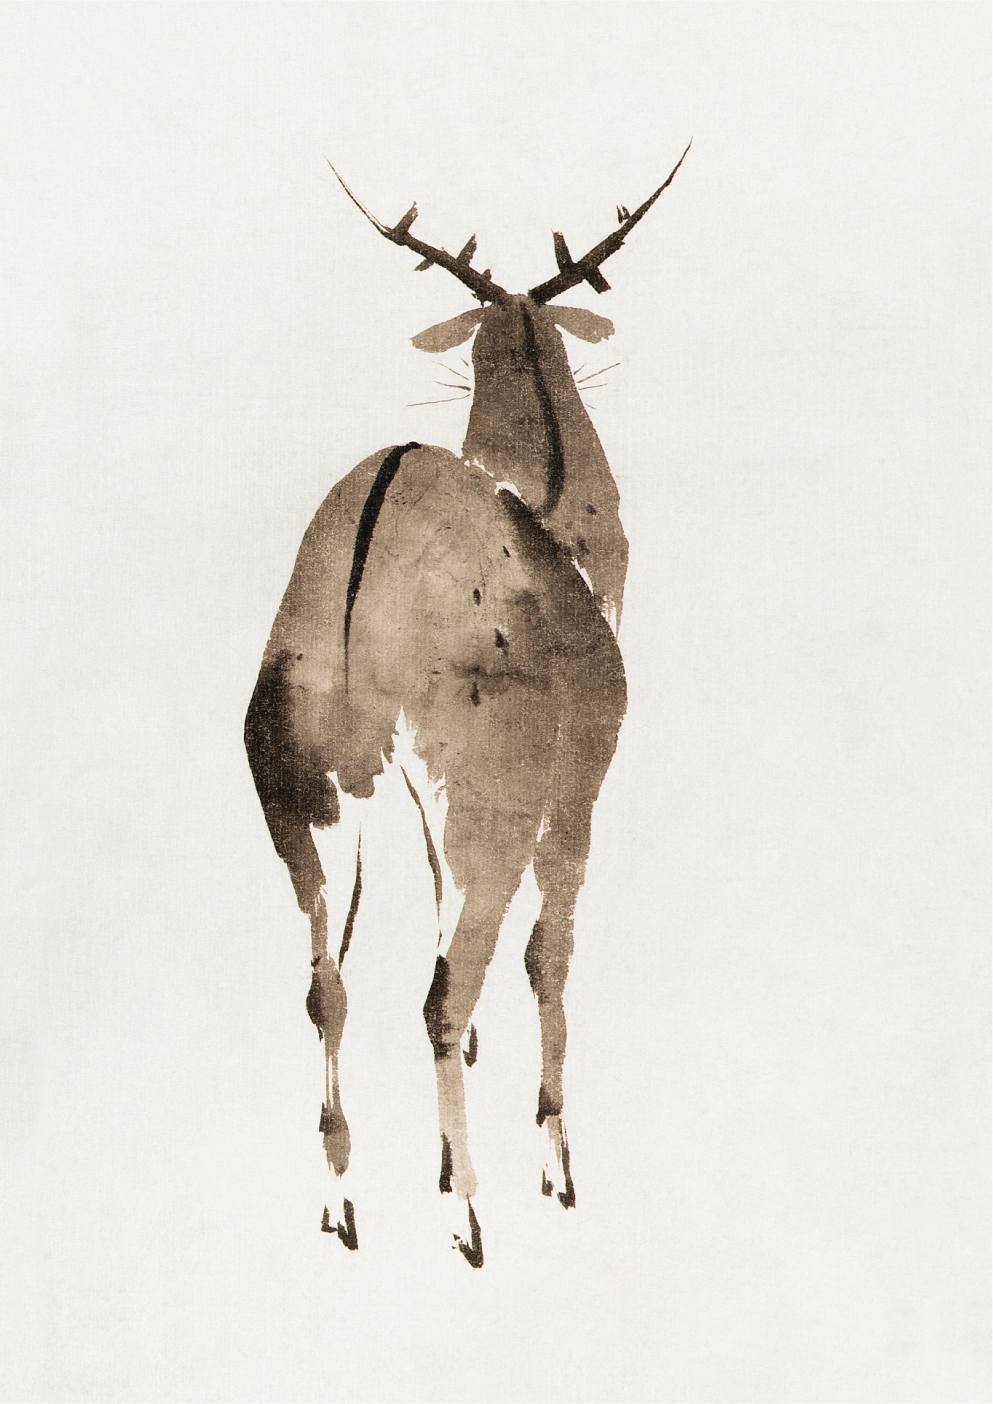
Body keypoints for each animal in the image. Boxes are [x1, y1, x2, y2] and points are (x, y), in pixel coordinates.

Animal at [244, 144, 690, 1266]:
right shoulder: (578, 785)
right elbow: (548, 955)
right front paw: (555, 1166)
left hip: (298, 791)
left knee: (327, 985)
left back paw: (342, 1204)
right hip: (484, 793)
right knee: (446, 987)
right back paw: (470, 1215)